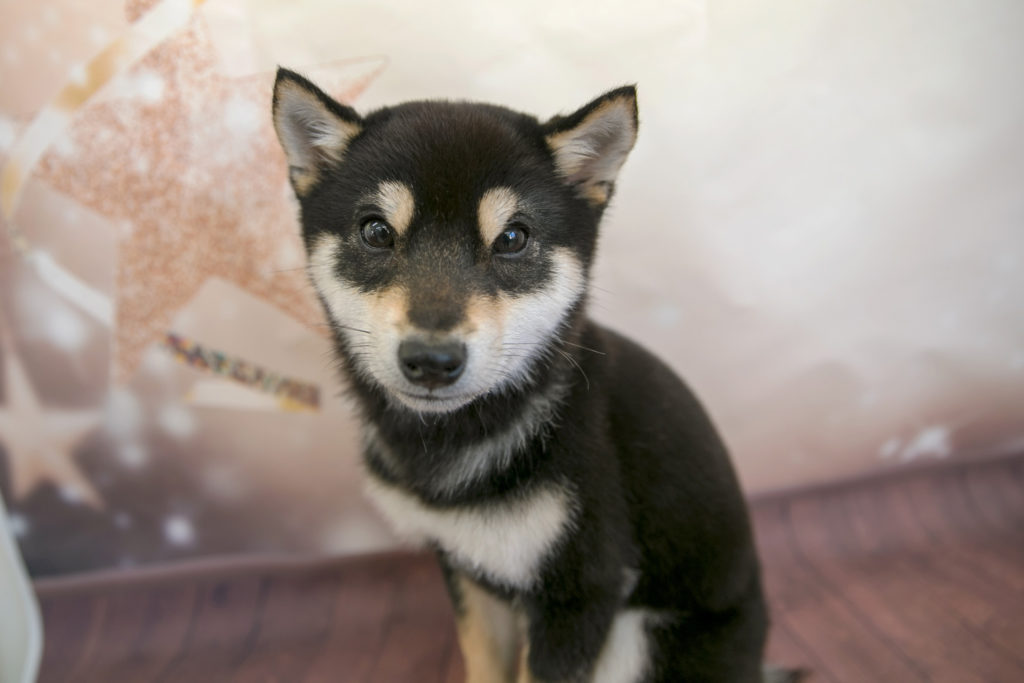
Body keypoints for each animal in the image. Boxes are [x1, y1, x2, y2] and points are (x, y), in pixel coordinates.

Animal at [272, 68, 791, 682]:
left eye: (513, 238)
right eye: (376, 232)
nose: (431, 360)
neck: (461, 439)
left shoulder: (583, 591)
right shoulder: (470, 569)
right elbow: (483, 663)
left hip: (638, 638)